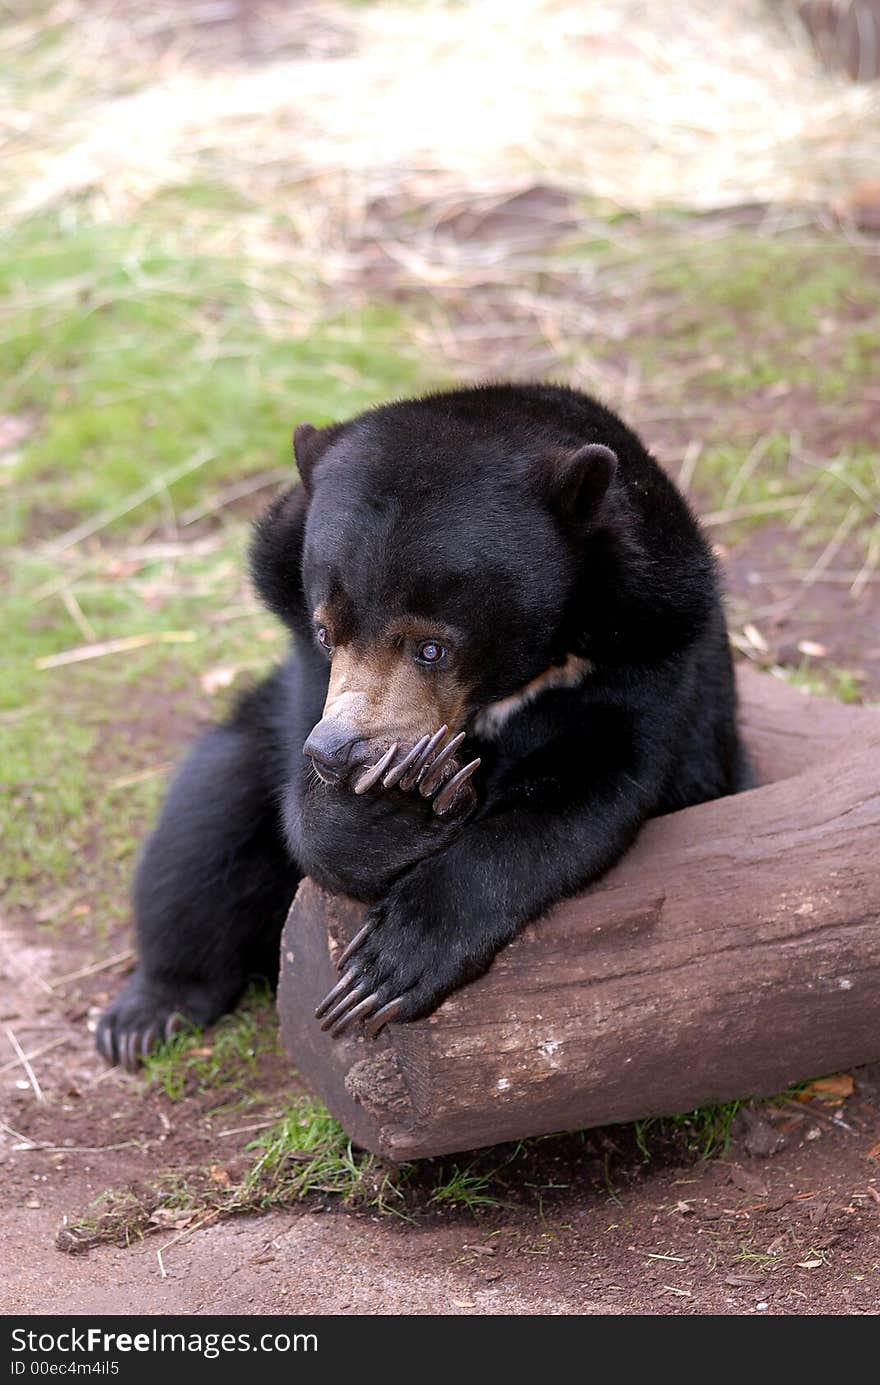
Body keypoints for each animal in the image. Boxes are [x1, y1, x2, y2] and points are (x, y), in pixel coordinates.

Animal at [99, 385, 753, 1063]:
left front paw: (389, 963)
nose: (337, 752)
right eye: (325, 632)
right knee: (201, 835)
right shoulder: (303, 670)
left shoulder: (650, 648)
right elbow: (300, 814)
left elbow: (589, 789)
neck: (518, 677)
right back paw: (147, 1016)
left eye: (431, 648)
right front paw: (394, 800)